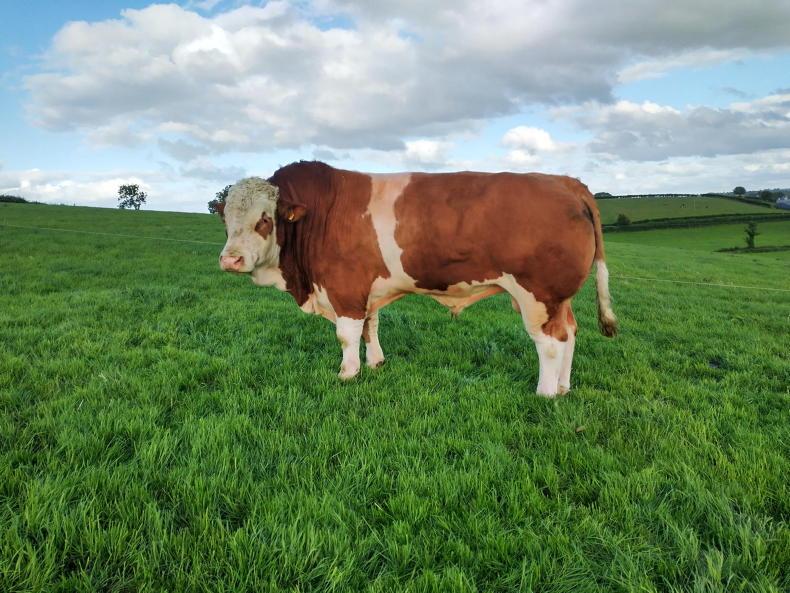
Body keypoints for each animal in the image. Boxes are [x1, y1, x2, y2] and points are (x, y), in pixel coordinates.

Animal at [217, 161, 617, 397]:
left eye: (264, 219)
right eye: (226, 218)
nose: (230, 260)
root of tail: (564, 181)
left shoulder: (344, 289)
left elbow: (347, 336)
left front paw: (348, 374)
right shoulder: (366, 290)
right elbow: (370, 327)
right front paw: (375, 364)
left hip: (539, 296)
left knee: (551, 342)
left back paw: (546, 393)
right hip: (557, 299)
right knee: (571, 333)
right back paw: (563, 386)